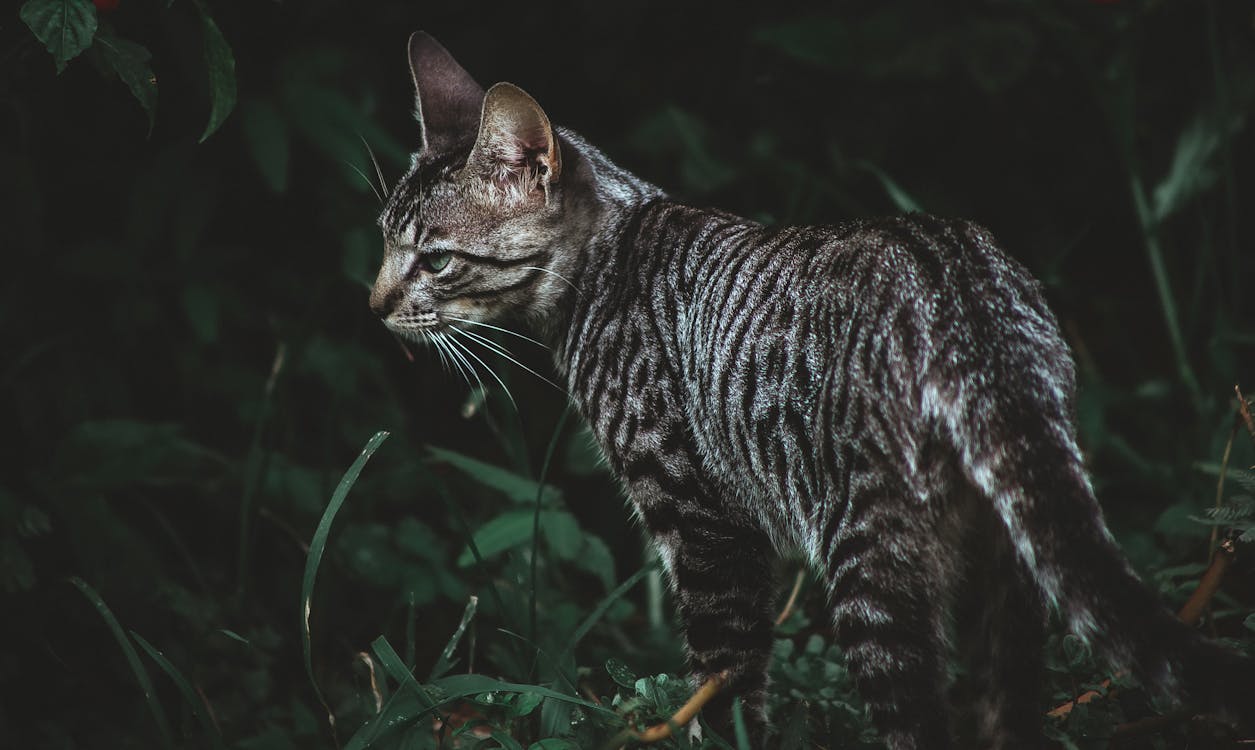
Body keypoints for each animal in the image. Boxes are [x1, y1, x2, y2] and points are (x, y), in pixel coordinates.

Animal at [368, 32, 1255, 747]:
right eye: (382, 239)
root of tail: (959, 280)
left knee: (916, 721)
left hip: (868, 560)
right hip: (1007, 567)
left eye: (435, 259)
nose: (371, 303)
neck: (609, 259)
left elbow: (724, 680)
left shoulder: (704, 523)